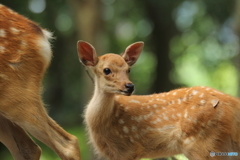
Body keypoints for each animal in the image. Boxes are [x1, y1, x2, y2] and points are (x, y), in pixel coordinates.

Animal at [77, 40, 240, 160]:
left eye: (128, 69)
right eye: (106, 70)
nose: (129, 86)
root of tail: (233, 104)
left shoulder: (128, 149)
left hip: (203, 142)